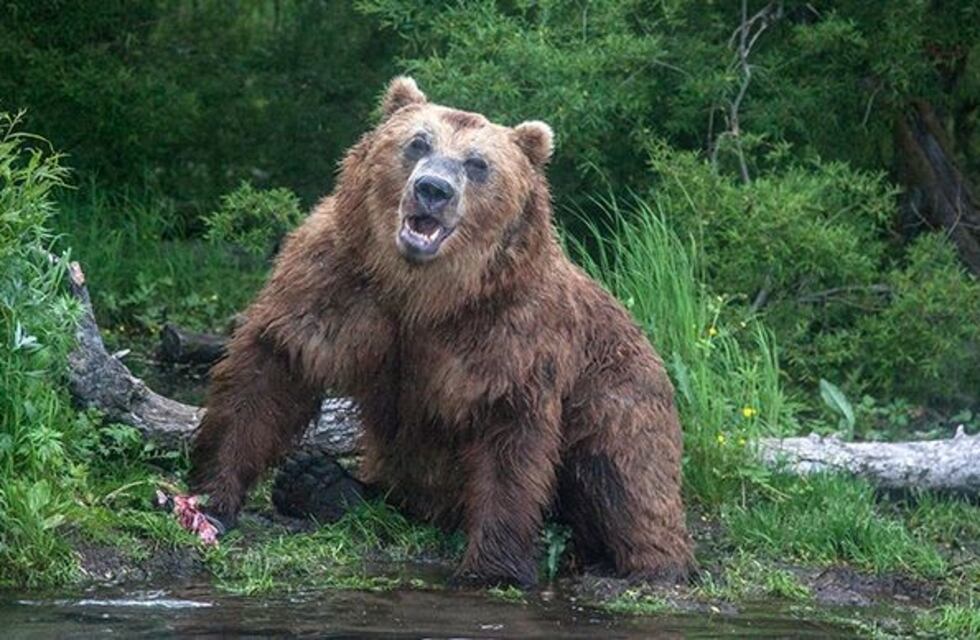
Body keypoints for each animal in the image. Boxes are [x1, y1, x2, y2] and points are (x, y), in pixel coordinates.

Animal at [188, 76, 694, 587]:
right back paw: (321, 483)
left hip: (618, 395)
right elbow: (272, 369)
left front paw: (493, 568)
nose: (433, 189)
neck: (422, 291)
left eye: (478, 163)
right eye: (417, 142)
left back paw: (641, 563)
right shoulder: (336, 280)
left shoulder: (510, 328)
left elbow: (509, 434)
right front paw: (214, 497)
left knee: (621, 472)